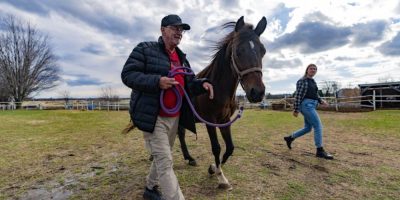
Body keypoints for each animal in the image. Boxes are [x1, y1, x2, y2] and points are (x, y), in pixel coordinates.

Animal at [179, 15, 268, 189]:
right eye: (238, 50)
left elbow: (230, 148)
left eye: (263, 51)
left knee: (181, 135)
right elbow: (216, 147)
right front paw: (221, 178)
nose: (257, 92)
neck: (216, 87)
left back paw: (190, 158)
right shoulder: (210, 121)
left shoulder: (224, 120)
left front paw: (213, 168)